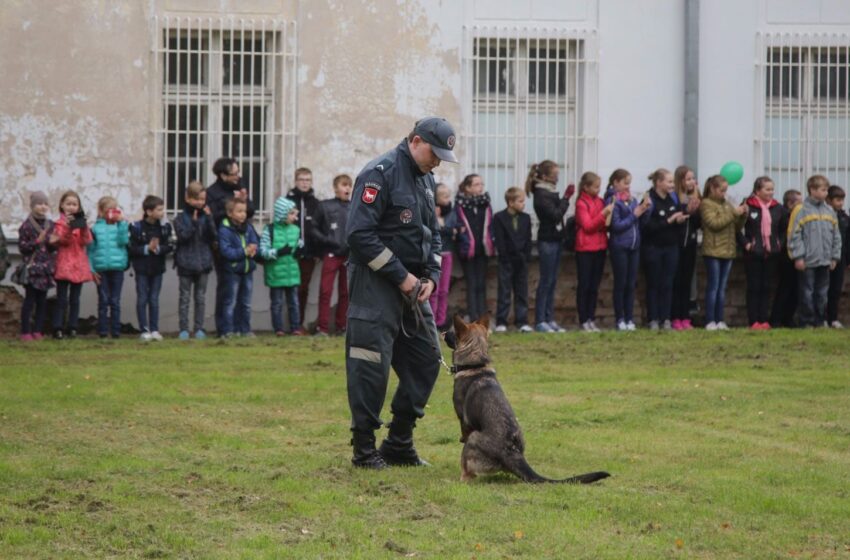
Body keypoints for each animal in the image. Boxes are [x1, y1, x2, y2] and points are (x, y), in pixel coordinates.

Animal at [444, 316, 608, 486]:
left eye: (453, 332)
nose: (442, 333)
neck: (475, 364)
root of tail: (513, 453)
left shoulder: (464, 422)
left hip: (474, 437)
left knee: (467, 473)